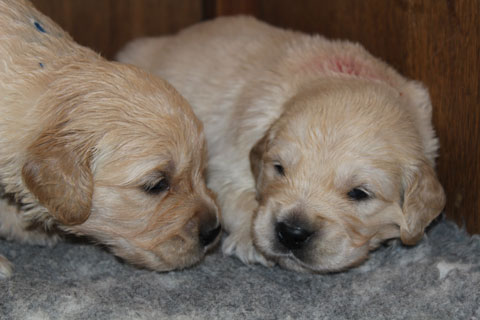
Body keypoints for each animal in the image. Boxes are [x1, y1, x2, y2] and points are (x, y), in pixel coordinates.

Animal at [117, 16, 446, 272]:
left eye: (359, 193)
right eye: (279, 169)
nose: (291, 232)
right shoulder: (225, 162)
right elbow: (235, 197)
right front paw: (250, 240)